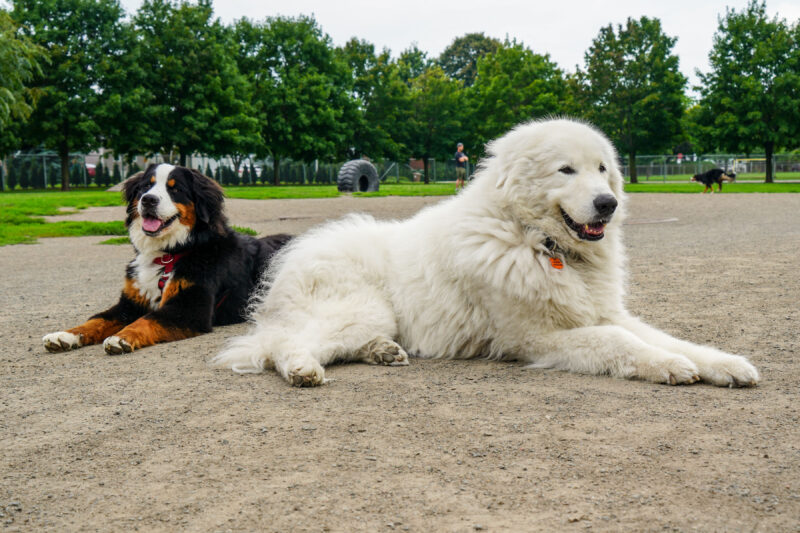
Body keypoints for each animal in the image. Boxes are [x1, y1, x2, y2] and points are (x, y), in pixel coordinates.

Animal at [41, 162, 290, 354]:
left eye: (175, 189)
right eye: (146, 186)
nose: (148, 200)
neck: (169, 255)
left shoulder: (190, 308)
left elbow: (148, 320)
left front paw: (122, 337)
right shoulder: (130, 302)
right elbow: (97, 319)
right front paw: (66, 335)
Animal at [211, 119, 756, 386]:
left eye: (602, 168)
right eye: (566, 170)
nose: (608, 203)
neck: (536, 242)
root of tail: (297, 253)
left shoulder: (606, 313)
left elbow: (671, 339)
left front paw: (725, 364)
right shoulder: (536, 339)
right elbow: (620, 344)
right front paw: (669, 367)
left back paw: (384, 352)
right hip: (362, 309)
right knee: (279, 345)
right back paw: (300, 369)